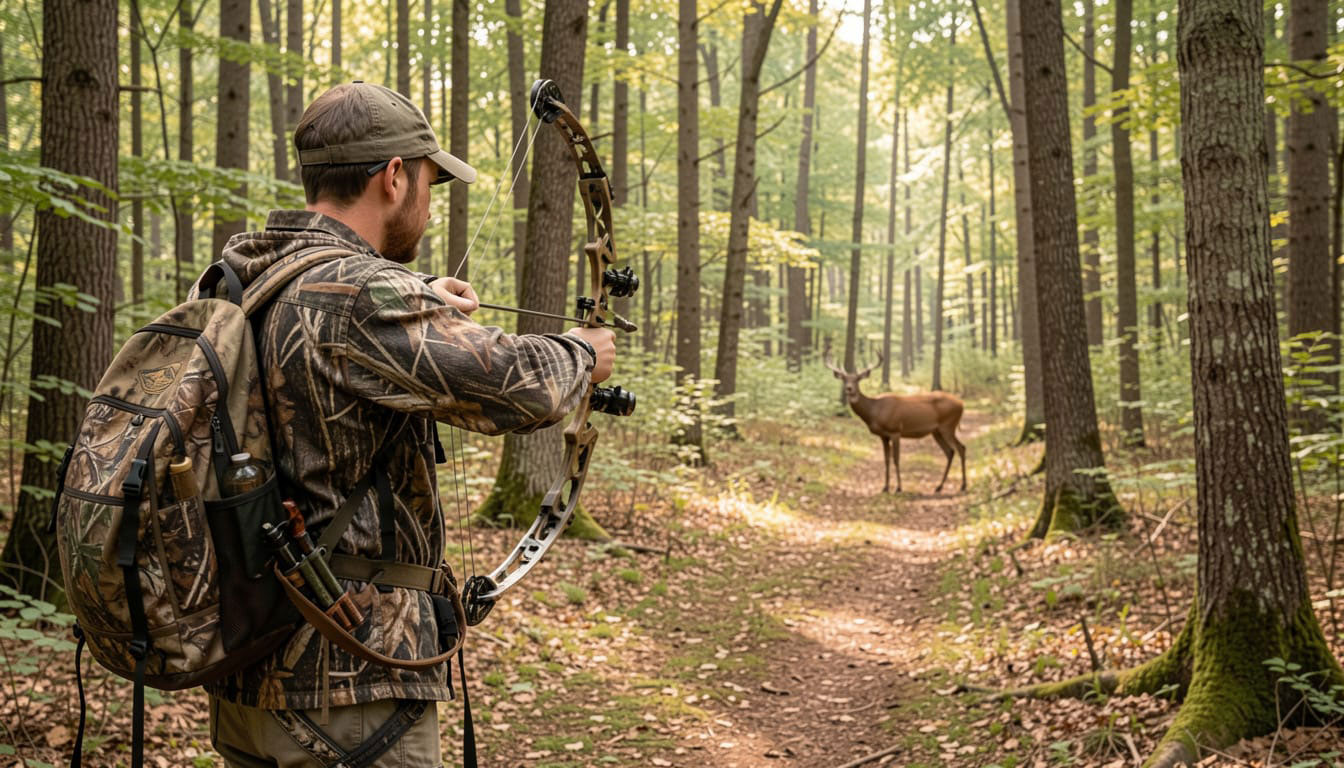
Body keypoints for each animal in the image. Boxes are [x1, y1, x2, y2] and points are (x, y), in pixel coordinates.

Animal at [825, 354, 967, 494]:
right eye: (844, 379)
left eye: (857, 379)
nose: (849, 389)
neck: (874, 411)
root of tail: (961, 404)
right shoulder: (883, 436)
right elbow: (886, 460)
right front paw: (885, 487)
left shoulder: (895, 431)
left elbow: (896, 459)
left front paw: (899, 488)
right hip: (936, 431)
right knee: (950, 451)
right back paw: (939, 487)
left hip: (948, 425)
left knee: (961, 448)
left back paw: (963, 486)